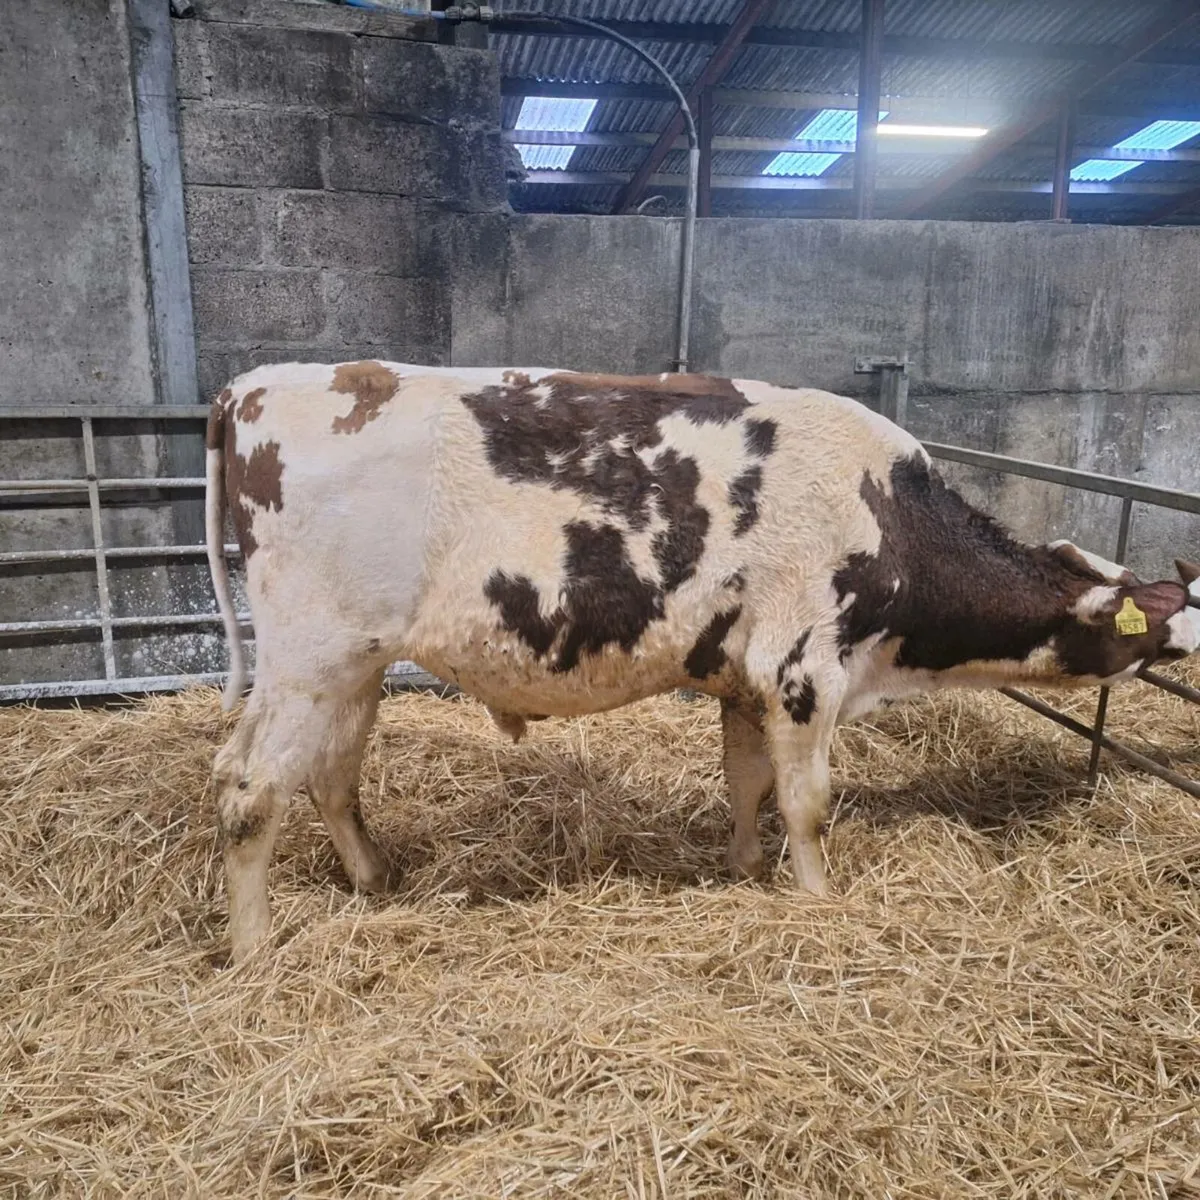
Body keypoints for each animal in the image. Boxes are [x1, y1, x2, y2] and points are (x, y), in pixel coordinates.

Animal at [204, 361, 1200, 961]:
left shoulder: (745, 679)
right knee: (250, 792)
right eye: (1158, 624)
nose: (1190, 642)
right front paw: (819, 900)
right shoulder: (805, 670)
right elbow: (809, 803)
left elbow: (747, 782)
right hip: (311, 657)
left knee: (324, 774)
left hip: (351, 668)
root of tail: (257, 384)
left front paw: (747, 869)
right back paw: (254, 948)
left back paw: (374, 880)